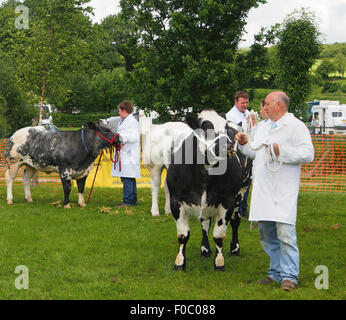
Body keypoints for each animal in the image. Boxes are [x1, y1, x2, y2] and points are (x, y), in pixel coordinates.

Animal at [166, 109, 253, 270]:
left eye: (225, 127)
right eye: (206, 127)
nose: (229, 145)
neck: (204, 176)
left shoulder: (227, 201)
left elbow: (219, 236)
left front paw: (219, 262)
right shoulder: (176, 201)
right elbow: (183, 235)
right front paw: (179, 262)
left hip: (241, 192)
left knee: (235, 220)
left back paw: (235, 249)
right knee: (205, 223)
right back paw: (205, 249)